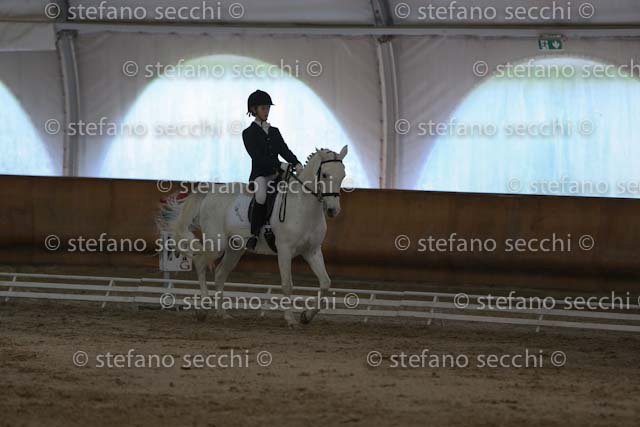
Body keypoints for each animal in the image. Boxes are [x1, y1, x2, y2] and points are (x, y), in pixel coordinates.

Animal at [157, 145, 348, 327]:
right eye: (325, 175)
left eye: (343, 175)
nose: (333, 210)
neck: (304, 206)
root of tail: (212, 191)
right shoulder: (284, 250)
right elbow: (287, 285)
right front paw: (290, 319)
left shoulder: (312, 251)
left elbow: (325, 283)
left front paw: (306, 317)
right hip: (217, 244)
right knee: (200, 262)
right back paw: (203, 310)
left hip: (235, 248)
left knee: (220, 274)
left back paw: (223, 314)